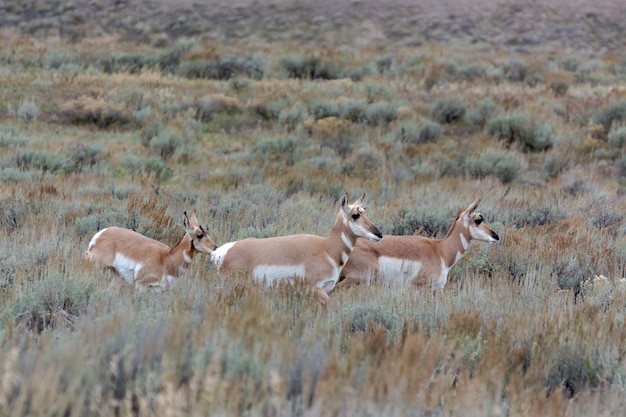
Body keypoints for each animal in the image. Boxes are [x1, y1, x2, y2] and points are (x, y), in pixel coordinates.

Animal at [84, 211, 217, 290]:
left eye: (208, 233)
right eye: (199, 235)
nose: (215, 248)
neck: (166, 258)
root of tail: (101, 234)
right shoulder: (140, 286)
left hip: (115, 274)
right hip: (98, 268)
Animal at [212, 193, 382, 304]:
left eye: (365, 212)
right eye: (355, 215)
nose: (379, 234)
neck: (327, 248)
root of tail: (221, 252)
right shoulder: (317, 290)